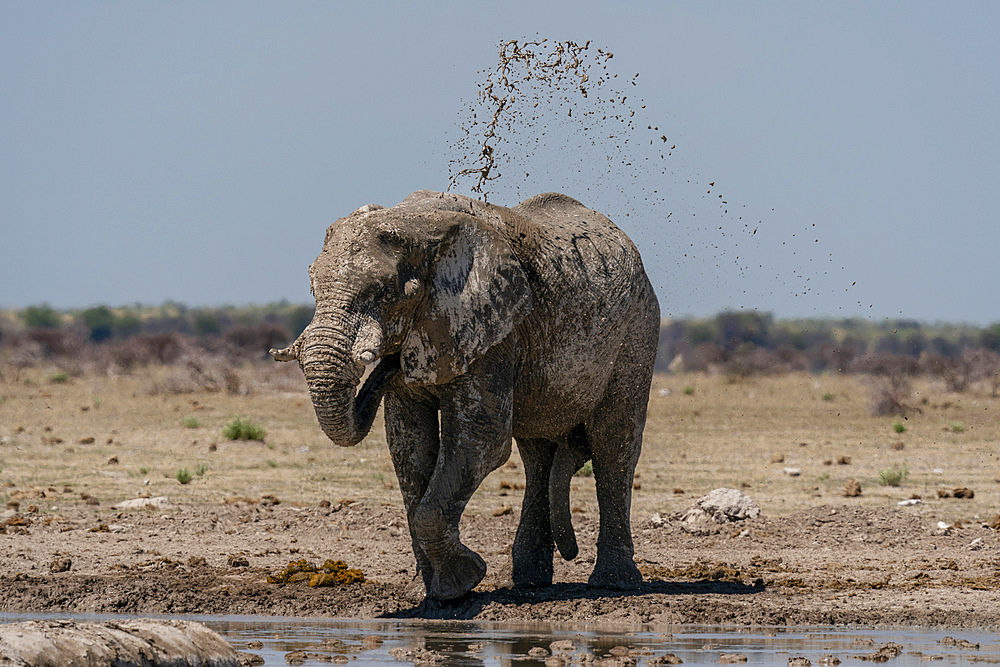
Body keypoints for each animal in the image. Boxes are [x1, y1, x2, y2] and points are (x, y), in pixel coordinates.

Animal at [270, 190, 660, 604]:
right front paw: (428, 594)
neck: (414, 222)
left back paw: (613, 583)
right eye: (313, 288)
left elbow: (480, 441)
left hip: (637, 331)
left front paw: (462, 583)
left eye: (389, 293)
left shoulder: (493, 329)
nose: (386, 364)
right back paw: (530, 582)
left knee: (613, 445)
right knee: (537, 455)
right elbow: (409, 444)